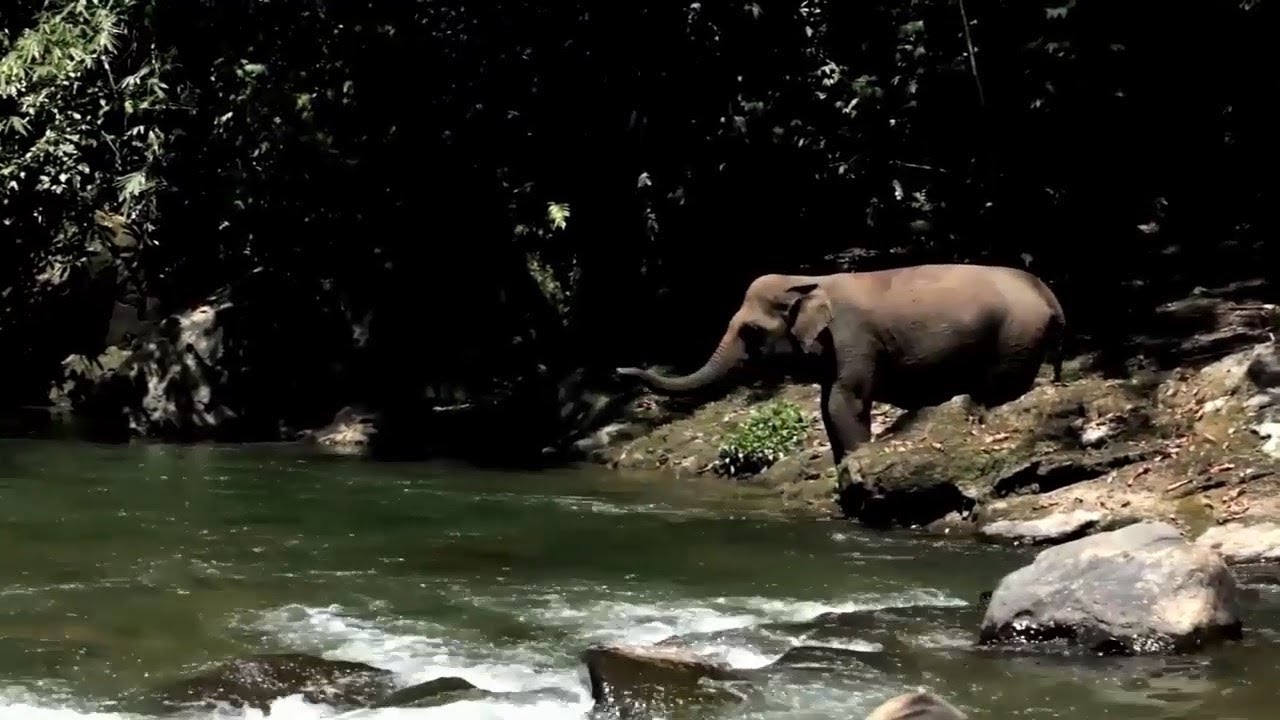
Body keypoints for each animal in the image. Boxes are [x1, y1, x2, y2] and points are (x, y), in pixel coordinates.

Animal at [616, 263, 1066, 466]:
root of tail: (1049, 295)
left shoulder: (854, 339)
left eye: (751, 332)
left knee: (999, 390)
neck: (807, 280)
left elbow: (843, 402)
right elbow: (826, 406)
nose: (619, 369)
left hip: (1014, 339)